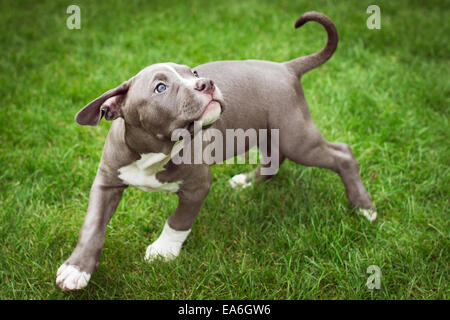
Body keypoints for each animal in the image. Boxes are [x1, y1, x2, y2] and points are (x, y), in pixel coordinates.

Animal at [56, 11, 376, 292]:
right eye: (160, 87)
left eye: (193, 72)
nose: (206, 83)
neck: (156, 150)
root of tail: (286, 67)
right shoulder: (107, 181)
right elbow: (92, 226)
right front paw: (77, 268)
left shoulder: (198, 186)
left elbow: (178, 221)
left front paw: (163, 251)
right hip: (270, 131)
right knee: (275, 158)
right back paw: (247, 181)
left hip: (296, 137)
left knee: (342, 154)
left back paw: (364, 206)